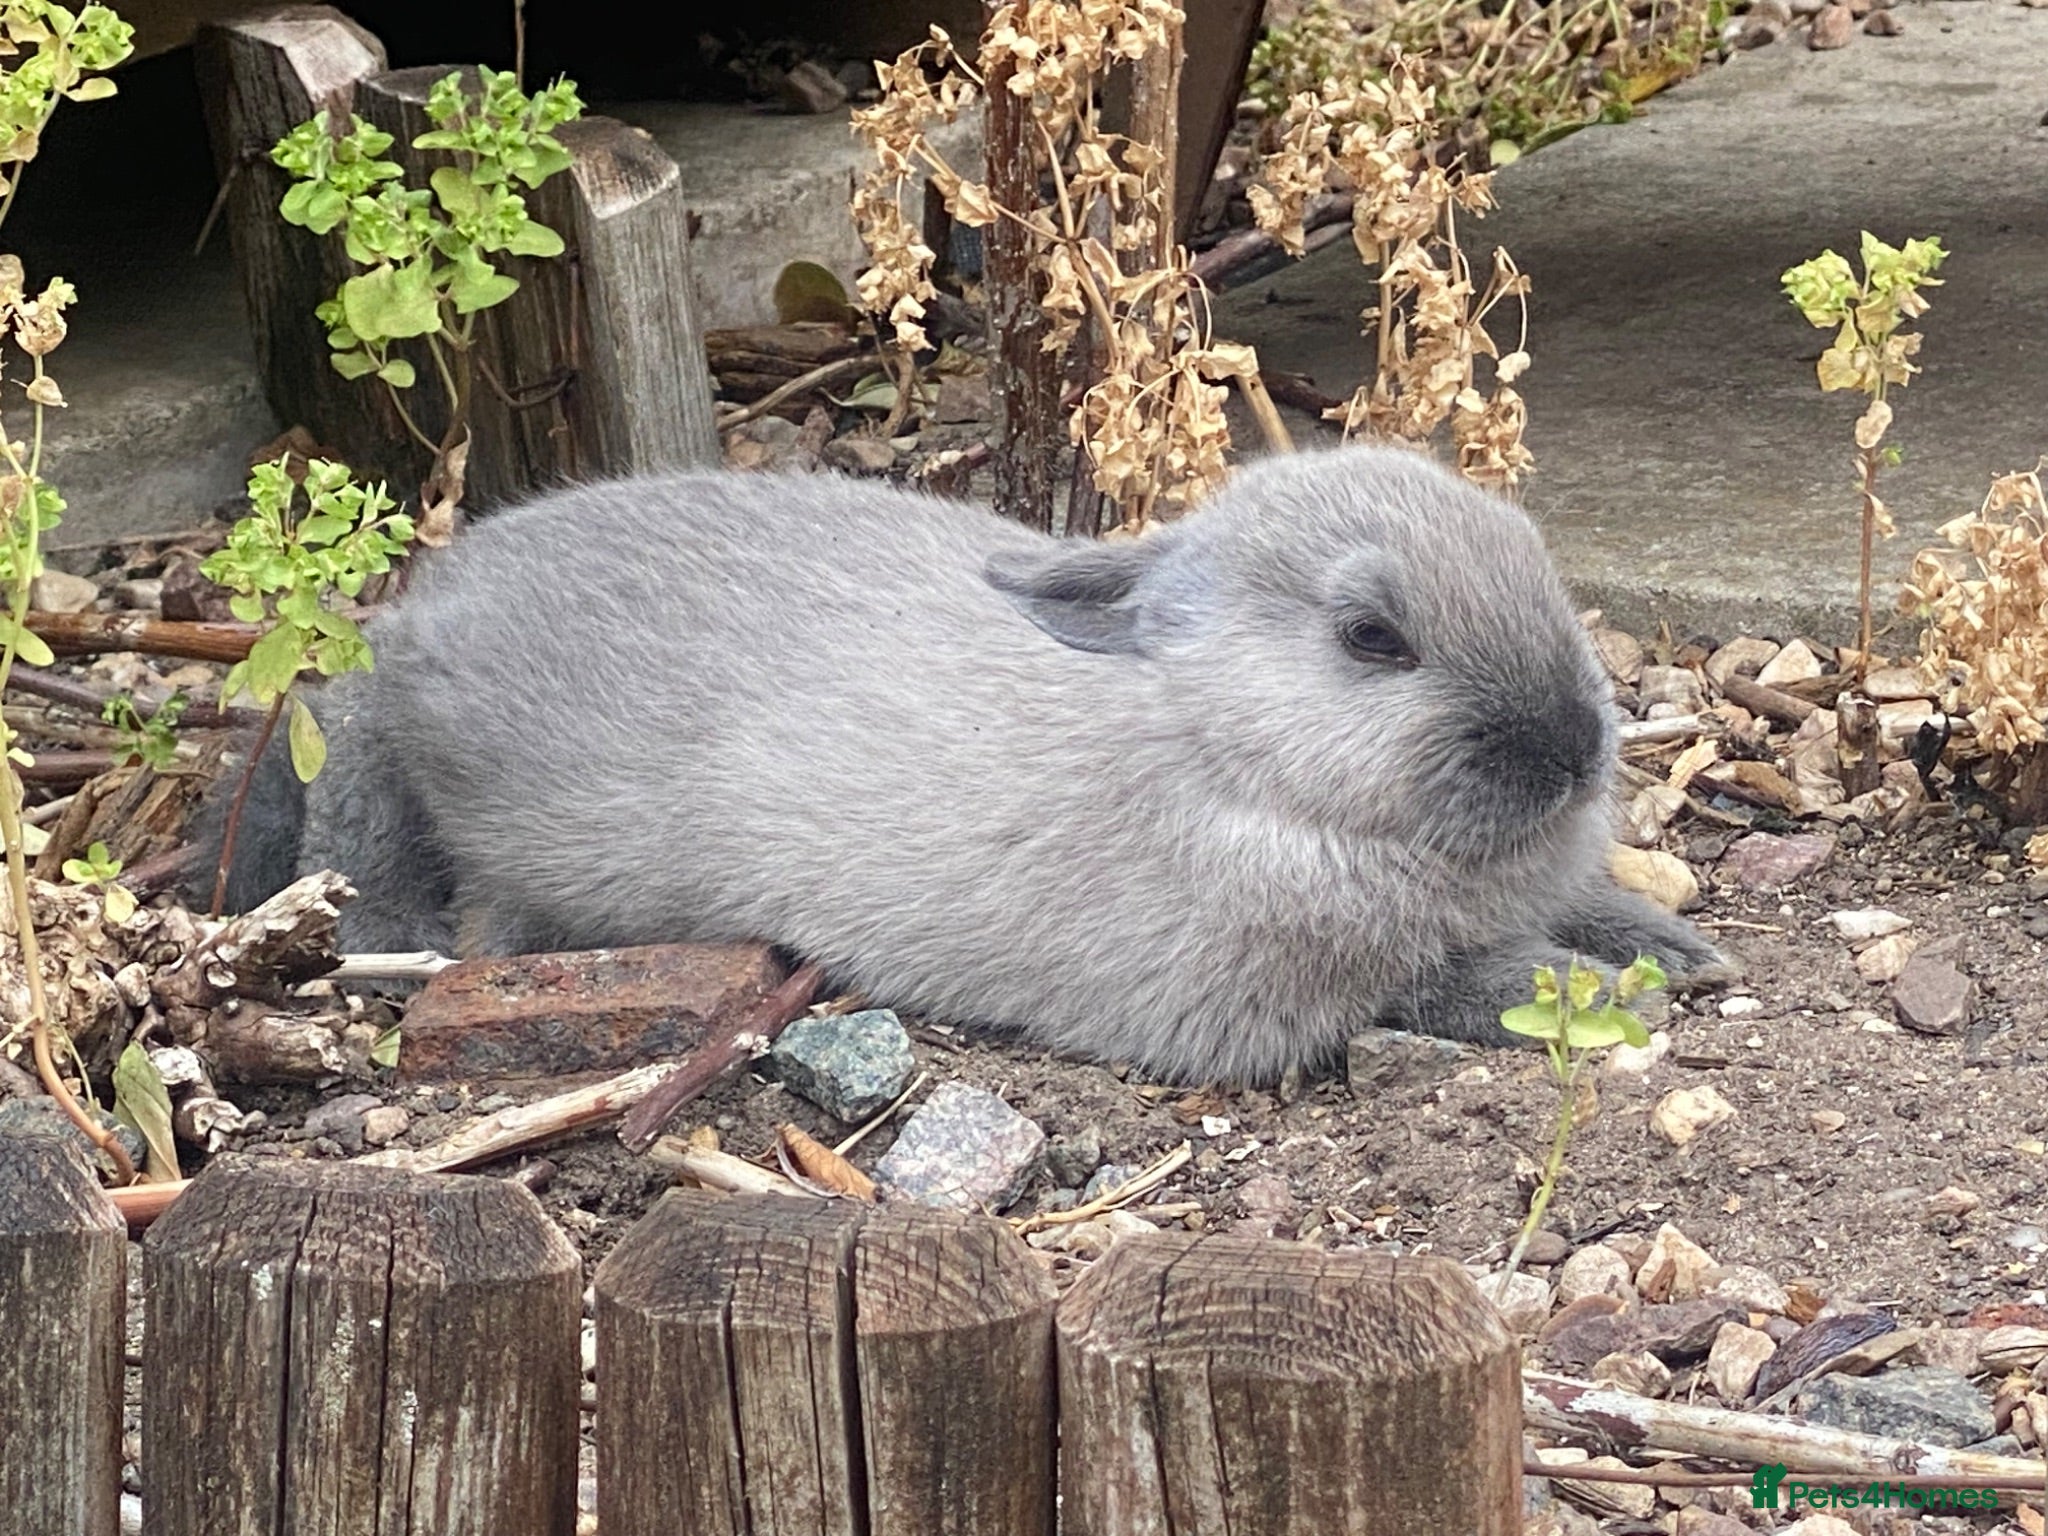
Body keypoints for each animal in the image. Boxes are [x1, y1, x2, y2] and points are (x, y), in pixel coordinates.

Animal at [204, 444, 1727, 1084]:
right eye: (1370, 639)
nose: (1571, 749)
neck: (1224, 747)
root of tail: (422, 628)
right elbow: (1454, 982)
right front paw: (1599, 993)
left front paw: (1669, 945)